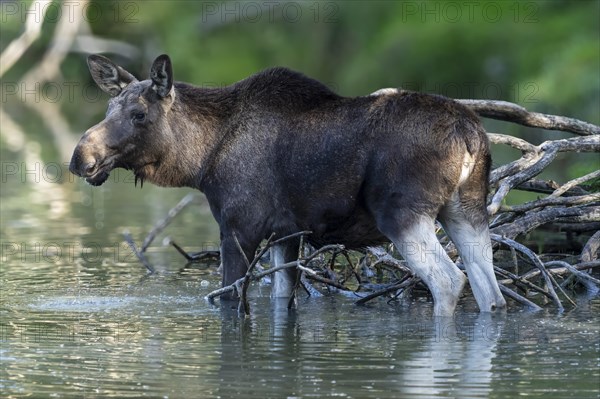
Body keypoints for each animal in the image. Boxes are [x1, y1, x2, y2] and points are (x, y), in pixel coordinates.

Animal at [70, 54, 506, 316]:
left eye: (139, 113)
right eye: (109, 107)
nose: (79, 158)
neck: (200, 160)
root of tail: (470, 133)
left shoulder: (239, 227)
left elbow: (229, 298)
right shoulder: (286, 234)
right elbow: (282, 297)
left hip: (402, 213)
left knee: (449, 281)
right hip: (466, 211)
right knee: (490, 290)